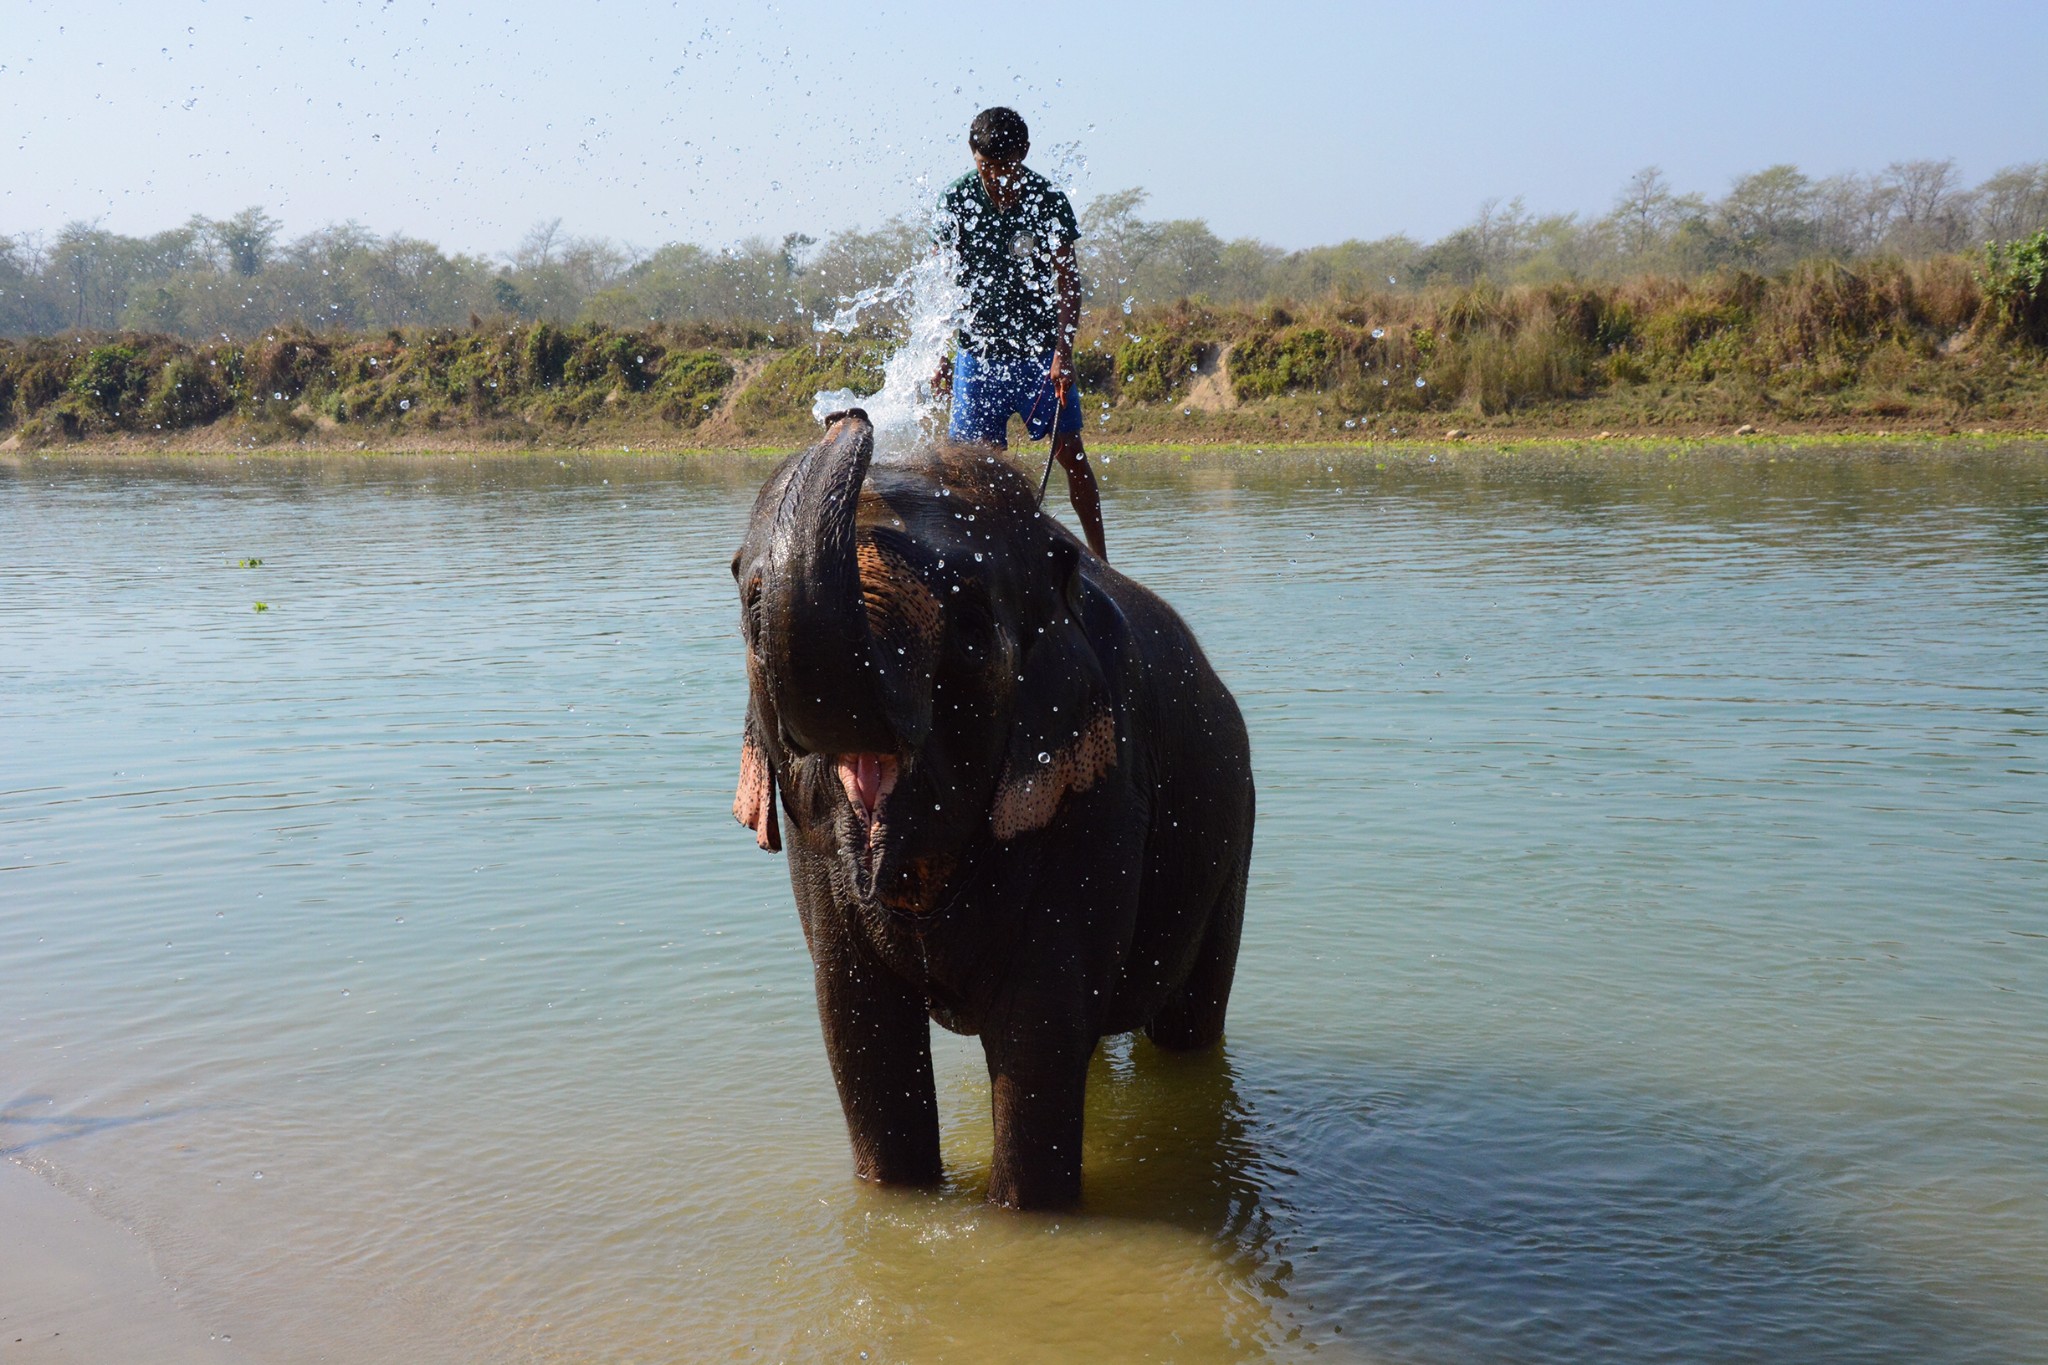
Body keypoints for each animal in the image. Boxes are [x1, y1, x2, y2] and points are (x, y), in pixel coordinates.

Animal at [729, 411, 1253, 1211]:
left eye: (973, 631)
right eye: (753, 610)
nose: (850, 416)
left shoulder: (1103, 795)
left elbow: (1038, 1028)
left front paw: (1021, 1221)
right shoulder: (812, 841)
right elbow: (857, 1022)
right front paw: (898, 1202)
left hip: (1234, 835)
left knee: (1188, 1021)